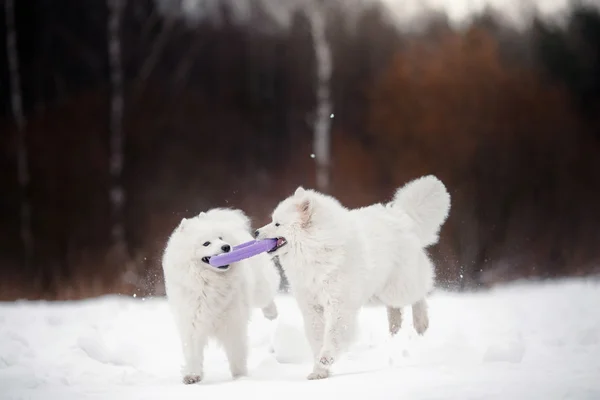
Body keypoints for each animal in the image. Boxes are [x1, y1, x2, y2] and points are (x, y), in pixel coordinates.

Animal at [161, 208, 280, 382]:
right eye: (206, 243)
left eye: (220, 238)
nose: (226, 247)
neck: (210, 283)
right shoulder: (192, 322)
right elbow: (192, 353)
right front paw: (192, 376)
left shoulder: (233, 322)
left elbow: (236, 352)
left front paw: (240, 377)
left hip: (260, 288)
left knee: (266, 296)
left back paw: (271, 313)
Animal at [254, 177, 450, 380]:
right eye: (272, 220)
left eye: (277, 224)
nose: (255, 232)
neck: (316, 250)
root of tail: (403, 216)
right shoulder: (312, 306)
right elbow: (317, 337)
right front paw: (319, 371)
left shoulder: (339, 304)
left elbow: (333, 334)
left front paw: (326, 358)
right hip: (375, 293)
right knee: (396, 308)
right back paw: (395, 329)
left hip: (396, 287)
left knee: (418, 293)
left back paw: (421, 323)